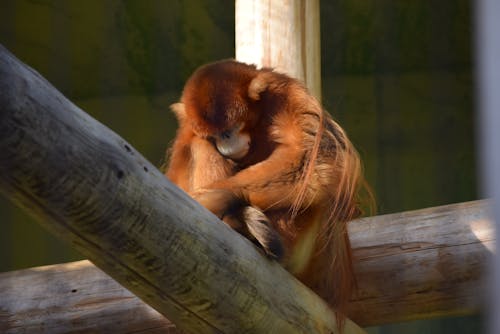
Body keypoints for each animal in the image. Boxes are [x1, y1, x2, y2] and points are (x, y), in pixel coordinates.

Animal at [164, 59, 372, 320]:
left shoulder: (288, 94)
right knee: (198, 145)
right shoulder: (188, 129)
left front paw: (208, 200)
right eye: (215, 135)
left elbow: (313, 161)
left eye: (230, 130)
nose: (225, 143)